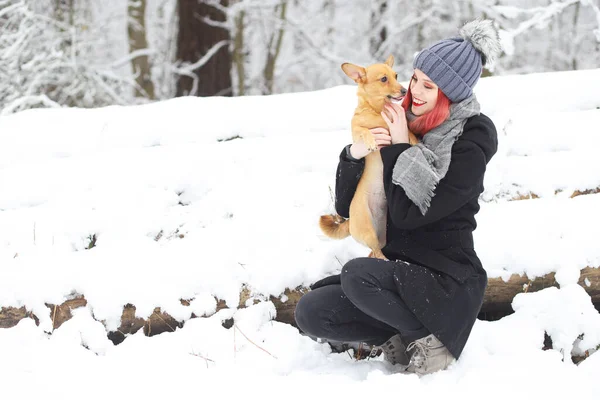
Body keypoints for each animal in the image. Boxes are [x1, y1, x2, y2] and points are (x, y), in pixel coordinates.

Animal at [318, 55, 418, 260]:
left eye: (396, 75)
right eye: (384, 79)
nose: (404, 90)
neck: (378, 110)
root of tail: (349, 221)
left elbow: (408, 129)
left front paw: (414, 138)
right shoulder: (357, 133)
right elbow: (365, 131)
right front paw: (372, 141)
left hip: (382, 236)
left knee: (375, 252)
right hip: (369, 232)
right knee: (376, 252)